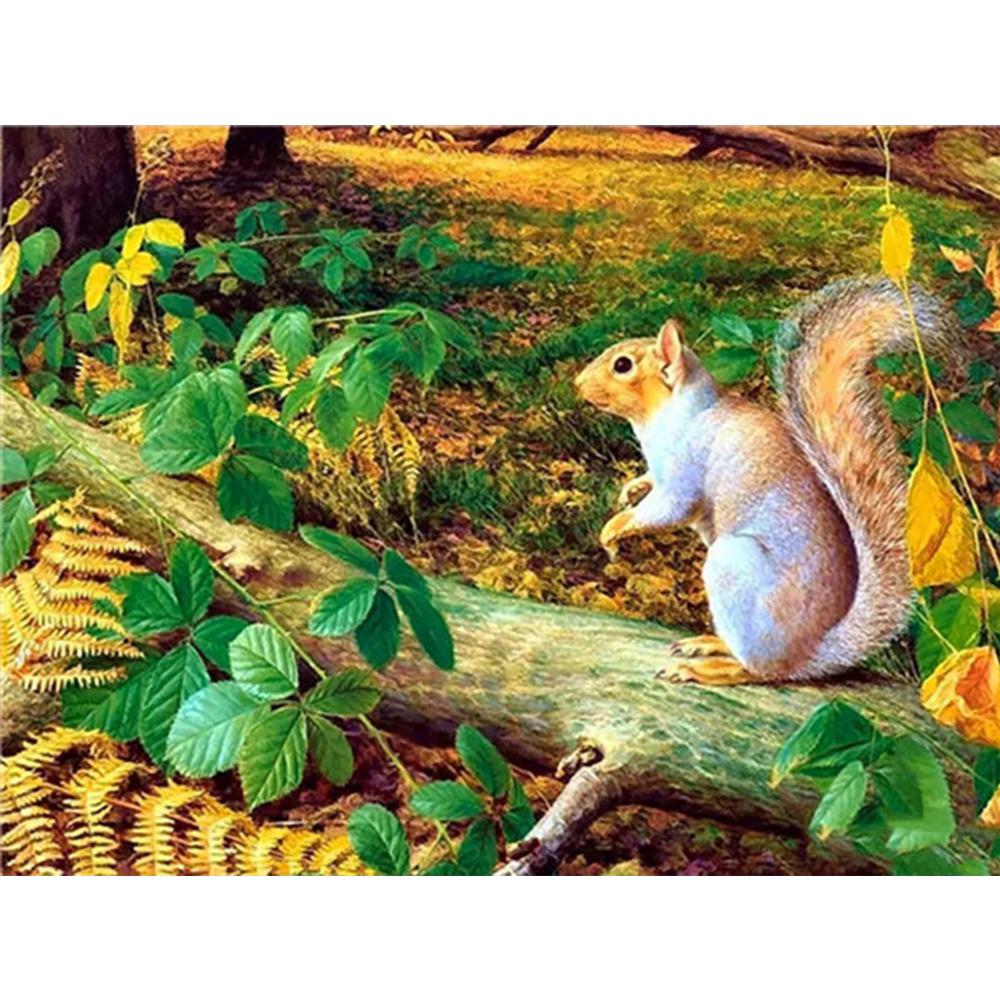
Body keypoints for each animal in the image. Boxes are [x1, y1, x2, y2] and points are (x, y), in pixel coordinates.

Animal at [575, 277, 955, 686]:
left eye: (623, 365)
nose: (577, 383)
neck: (674, 413)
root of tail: (813, 652)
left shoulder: (685, 468)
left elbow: (670, 509)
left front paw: (613, 530)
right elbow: (649, 484)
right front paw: (630, 490)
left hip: (733, 569)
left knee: (759, 671)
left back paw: (703, 669)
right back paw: (710, 643)